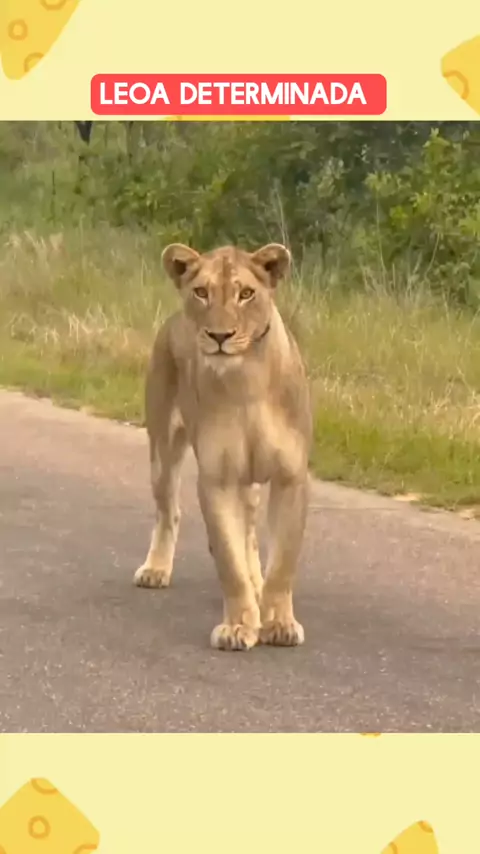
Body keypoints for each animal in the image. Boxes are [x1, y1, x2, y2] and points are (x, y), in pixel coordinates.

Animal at [134, 242, 312, 651]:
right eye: (202, 292)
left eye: (246, 293)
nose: (219, 335)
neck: (246, 382)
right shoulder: (216, 479)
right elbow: (229, 563)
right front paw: (238, 627)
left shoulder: (291, 477)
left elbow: (283, 561)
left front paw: (279, 624)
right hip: (162, 450)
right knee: (169, 511)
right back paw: (155, 569)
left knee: (249, 534)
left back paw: (258, 584)